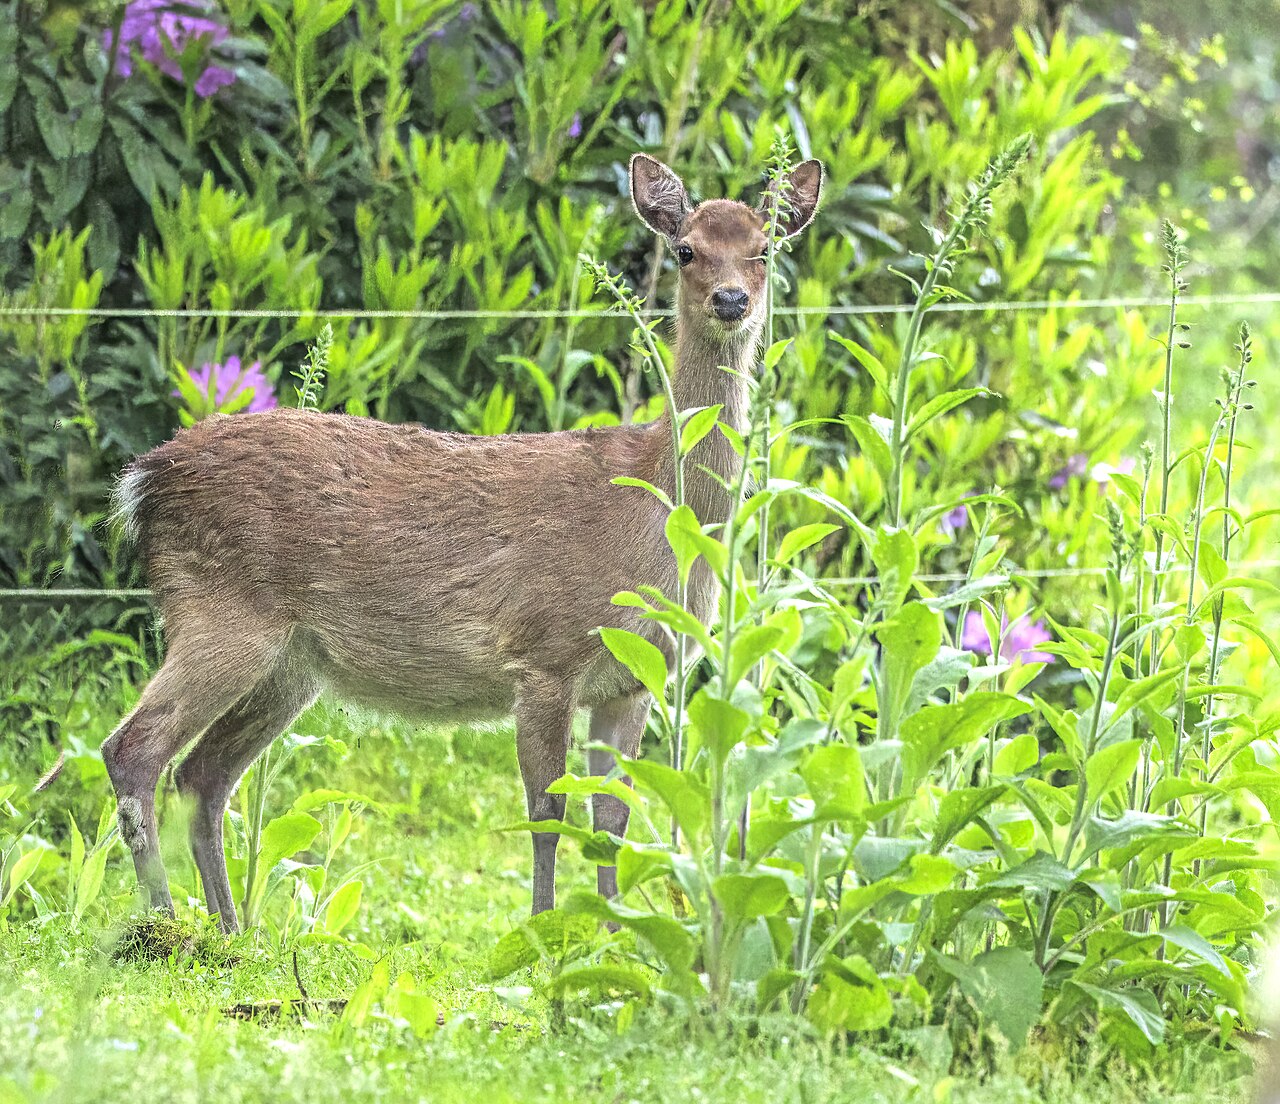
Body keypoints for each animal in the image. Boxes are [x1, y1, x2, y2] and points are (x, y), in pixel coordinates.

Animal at [100, 152, 824, 933]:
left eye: (766, 250)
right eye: (686, 250)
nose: (730, 299)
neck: (658, 517)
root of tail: (144, 481)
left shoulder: (632, 680)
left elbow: (611, 819)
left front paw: (616, 933)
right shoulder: (545, 654)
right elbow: (547, 814)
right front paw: (543, 932)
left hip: (292, 663)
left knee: (201, 775)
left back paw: (233, 932)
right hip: (221, 612)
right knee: (134, 749)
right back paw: (166, 923)